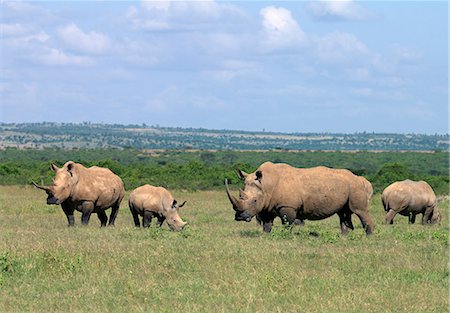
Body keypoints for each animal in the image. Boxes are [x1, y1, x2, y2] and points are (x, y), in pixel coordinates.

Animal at [225, 161, 376, 234]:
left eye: (254, 201)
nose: (240, 217)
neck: (266, 184)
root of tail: (360, 178)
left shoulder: (287, 206)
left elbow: (287, 223)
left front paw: (285, 237)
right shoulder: (267, 205)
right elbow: (267, 224)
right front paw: (265, 236)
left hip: (355, 187)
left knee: (360, 211)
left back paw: (368, 237)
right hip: (347, 187)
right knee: (343, 213)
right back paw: (344, 237)